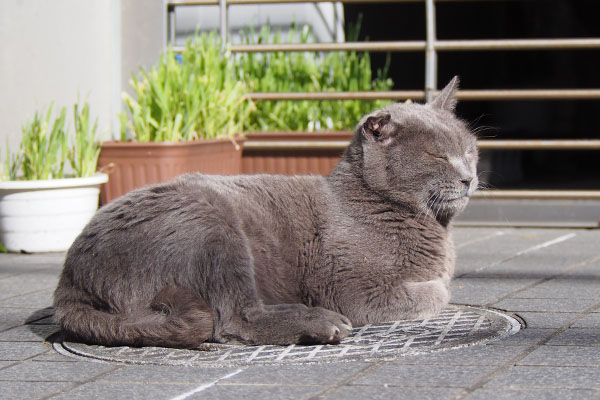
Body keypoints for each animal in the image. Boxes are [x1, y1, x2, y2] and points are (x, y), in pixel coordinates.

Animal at [55, 77, 478, 346]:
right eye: (436, 155)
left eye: (470, 150)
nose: (469, 177)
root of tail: (69, 280)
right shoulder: (353, 289)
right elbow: (437, 292)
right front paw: (439, 288)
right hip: (213, 225)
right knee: (235, 319)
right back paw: (322, 323)